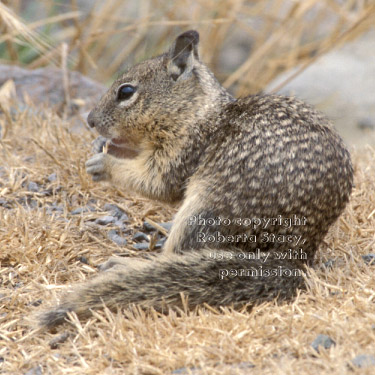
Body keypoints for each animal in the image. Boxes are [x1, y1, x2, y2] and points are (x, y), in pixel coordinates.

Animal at [39, 30, 354, 328]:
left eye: (126, 91)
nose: (90, 120)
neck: (196, 114)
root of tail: (294, 254)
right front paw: (101, 146)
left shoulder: (183, 152)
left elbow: (157, 183)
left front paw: (104, 163)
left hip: (202, 214)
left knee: (177, 252)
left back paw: (124, 264)